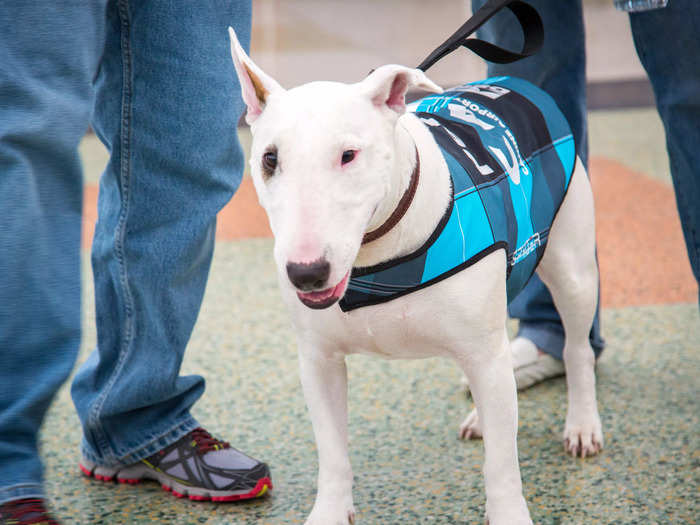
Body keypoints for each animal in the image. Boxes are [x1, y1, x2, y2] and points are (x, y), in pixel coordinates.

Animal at [228, 25, 600, 524]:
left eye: (349, 155)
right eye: (269, 159)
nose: (306, 274)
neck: (378, 260)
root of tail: (516, 84)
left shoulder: (484, 350)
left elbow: (502, 463)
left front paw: (508, 511)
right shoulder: (319, 360)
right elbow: (332, 451)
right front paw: (330, 510)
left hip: (572, 266)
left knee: (577, 349)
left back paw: (582, 425)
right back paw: (484, 418)